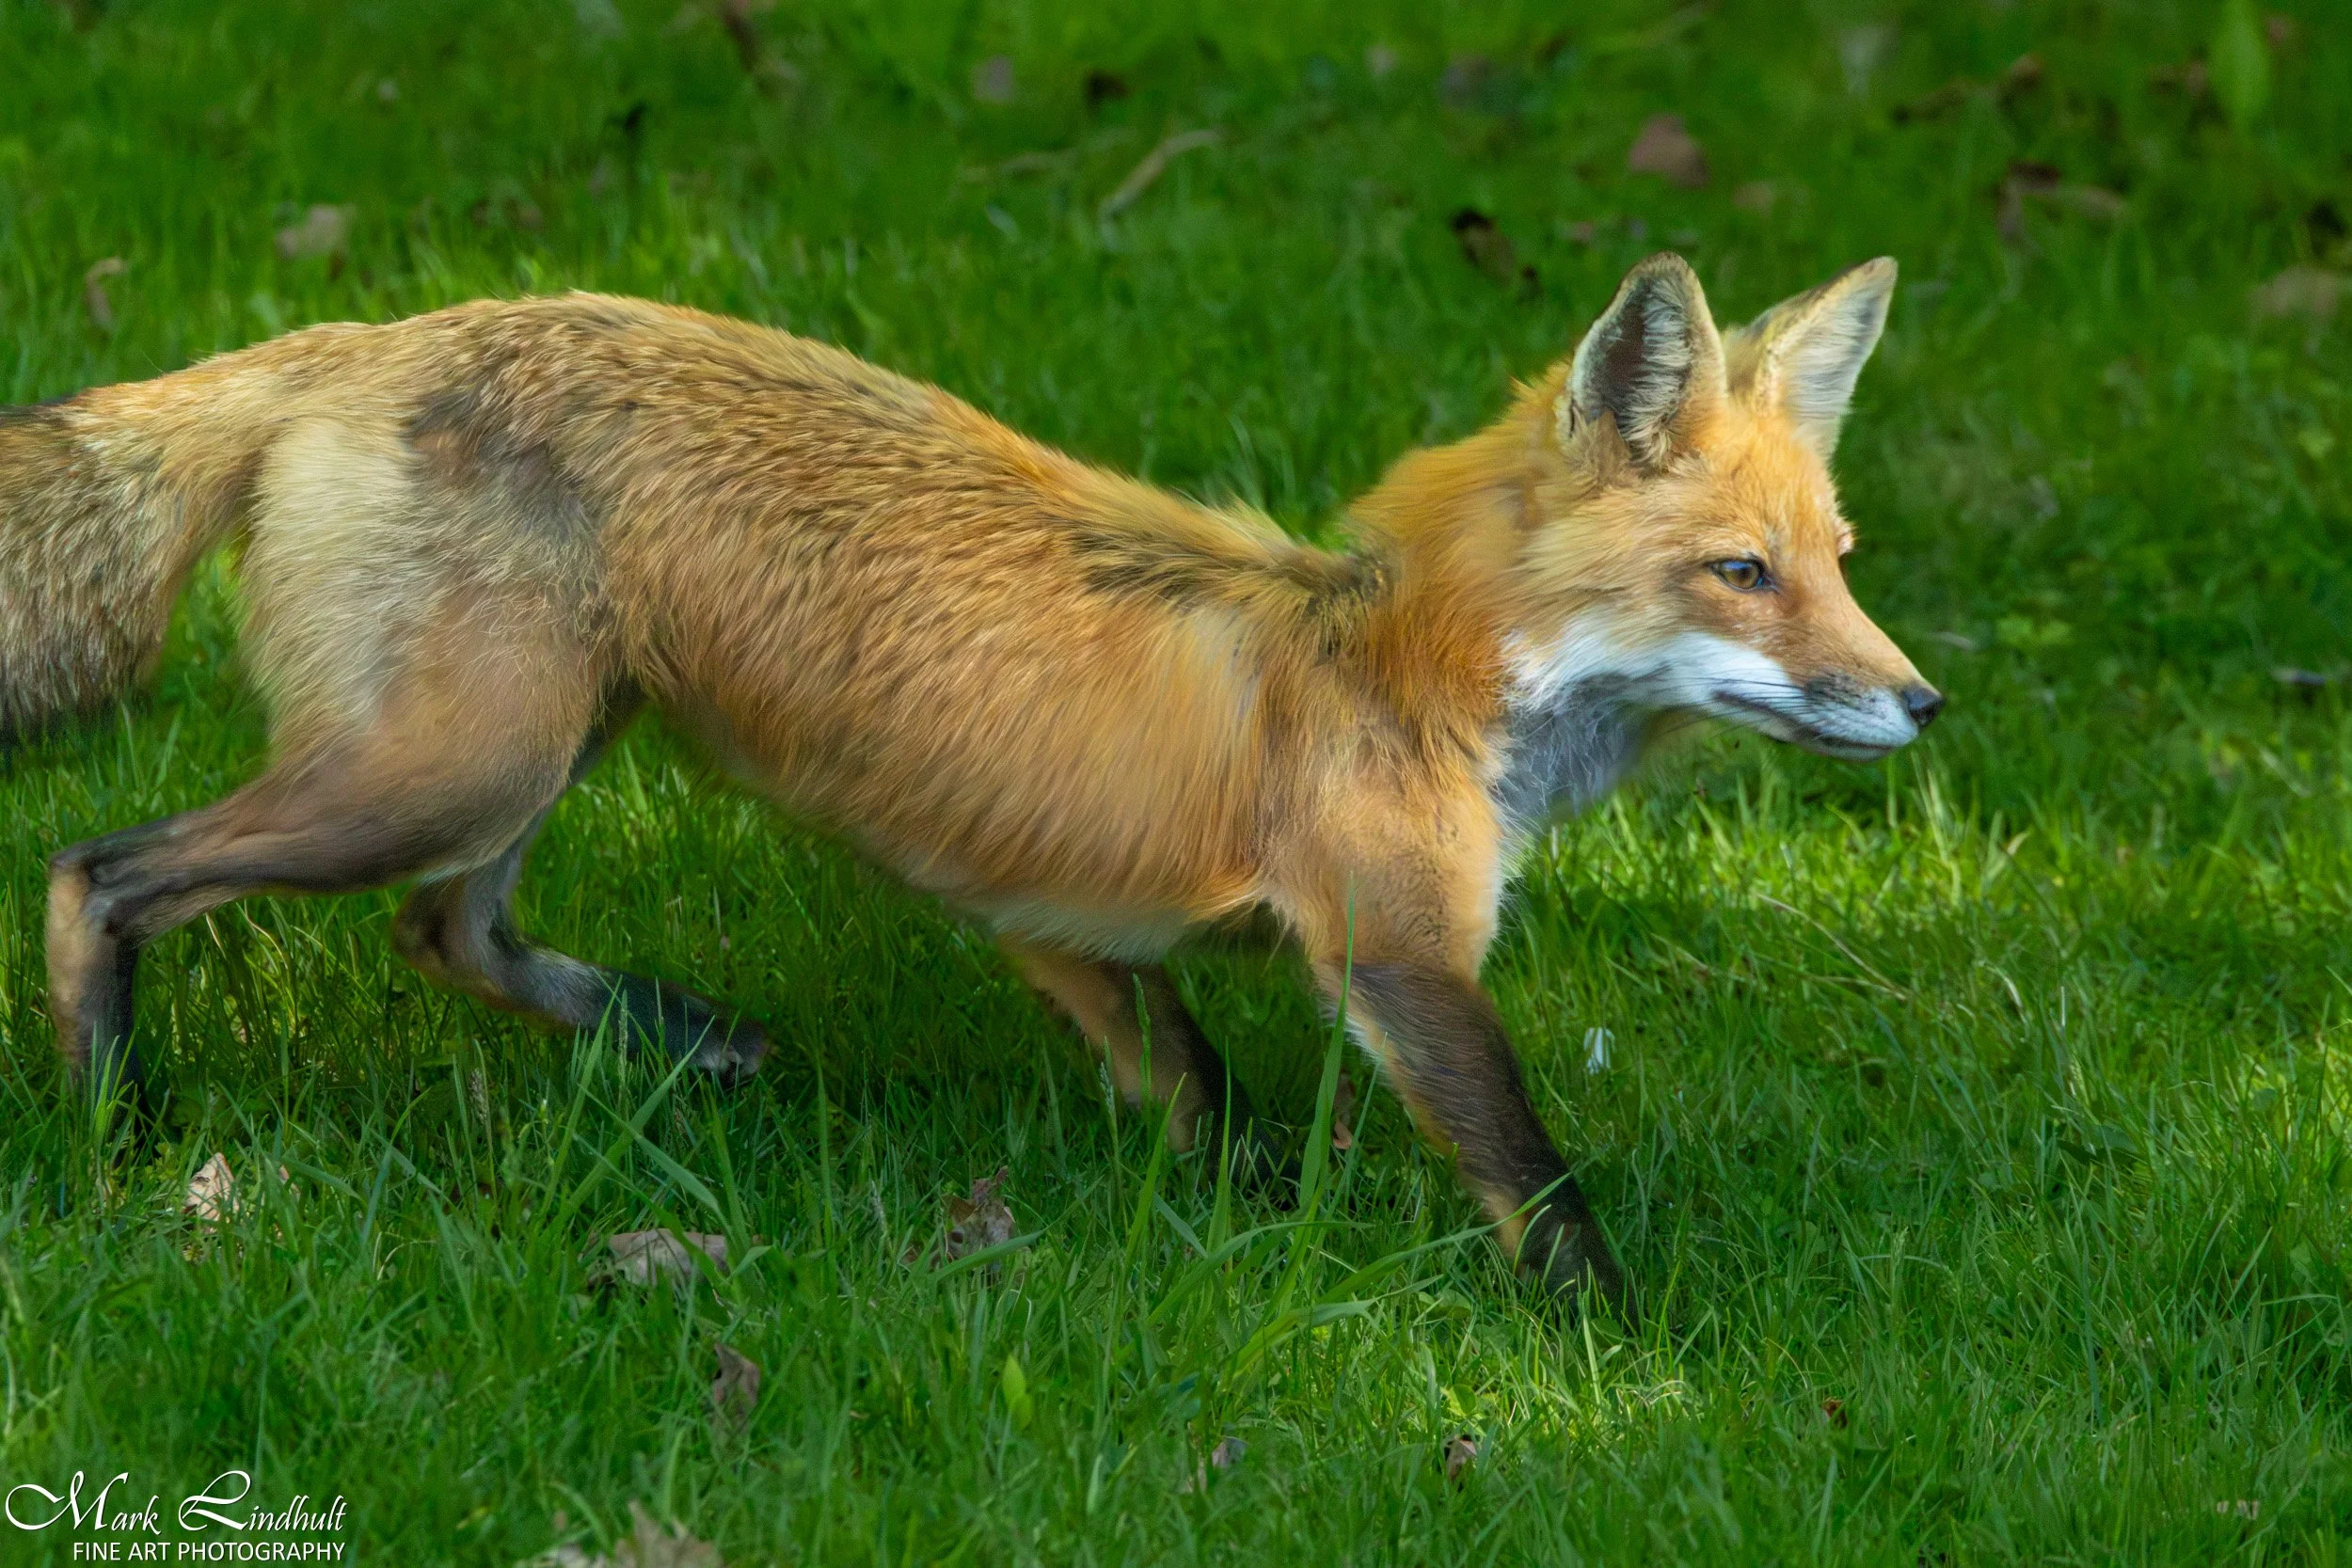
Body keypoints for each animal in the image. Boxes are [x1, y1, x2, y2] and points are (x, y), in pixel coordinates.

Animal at [4, 251, 1938, 1305]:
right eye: (1742, 575)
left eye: (1839, 561)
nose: (1922, 704)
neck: (1389, 667)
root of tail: (360, 335)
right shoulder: (1399, 957)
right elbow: (1537, 1183)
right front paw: (1635, 1350)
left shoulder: (1057, 916)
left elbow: (1201, 1097)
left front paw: (1236, 1239)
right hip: (440, 767)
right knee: (103, 870)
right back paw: (116, 1139)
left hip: (523, 749)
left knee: (445, 934)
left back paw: (685, 1036)